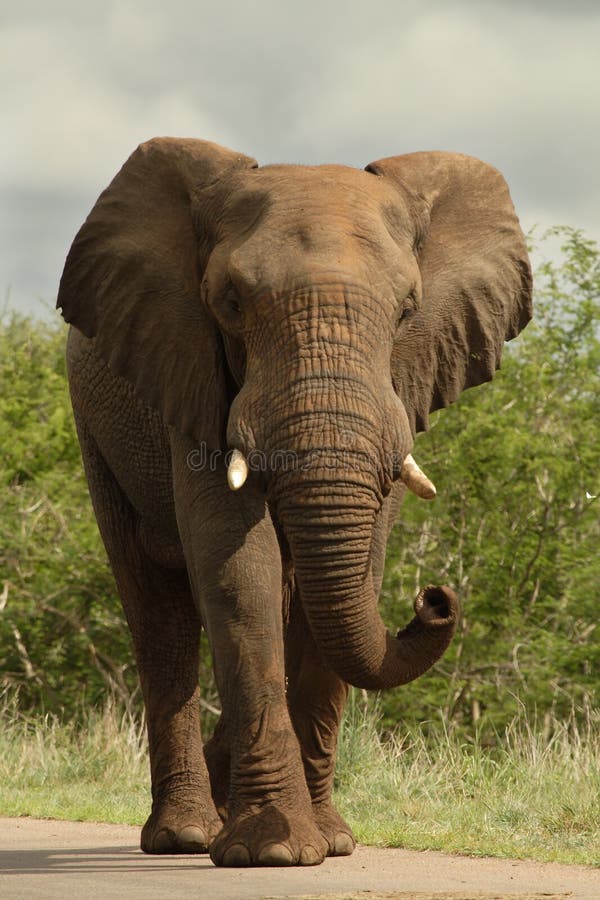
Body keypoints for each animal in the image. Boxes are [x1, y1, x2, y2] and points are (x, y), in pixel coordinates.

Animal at [58, 139, 532, 864]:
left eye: (408, 308)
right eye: (228, 301)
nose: (434, 598)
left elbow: (358, 566)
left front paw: (330, 844)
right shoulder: (191, 372)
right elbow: (235, 568)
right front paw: (271, 851)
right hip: (97, 428)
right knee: (157, 609)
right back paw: (185, 835)